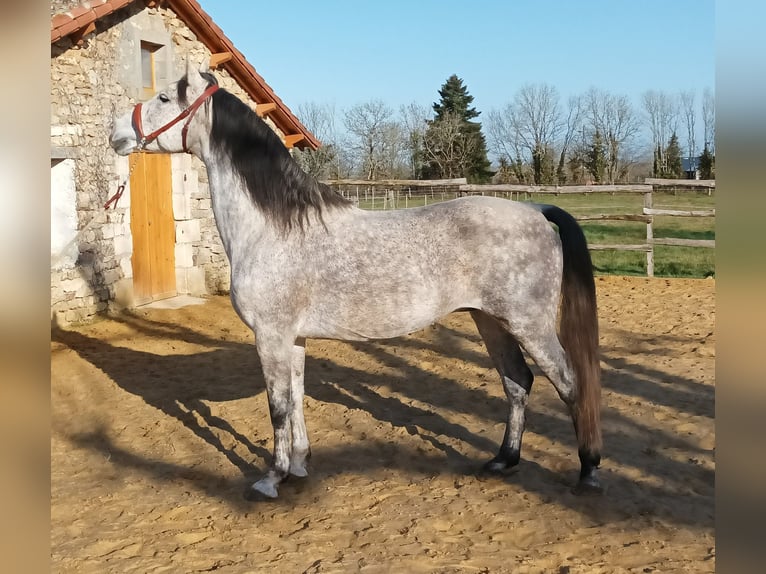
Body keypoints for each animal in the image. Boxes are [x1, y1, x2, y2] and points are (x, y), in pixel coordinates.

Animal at [111, 58, 604, 500]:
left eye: (162, 97)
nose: (116, 133)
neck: (272, 227)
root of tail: (537, 210)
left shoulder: (270, 336)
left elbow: (277, 407)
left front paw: (271, 479)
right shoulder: (292, 338)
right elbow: (296, 398)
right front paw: (299, 466)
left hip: (529, 323)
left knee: (568, 382)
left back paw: (588, 471)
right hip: (490, 321)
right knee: (517, 382)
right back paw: (503, 460)